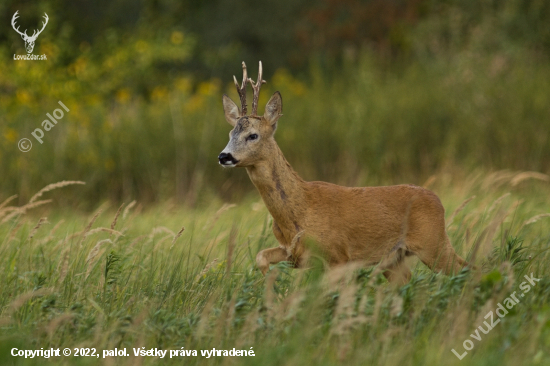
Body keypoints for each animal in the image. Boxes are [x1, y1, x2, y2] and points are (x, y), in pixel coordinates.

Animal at [220, 61, 470, 284]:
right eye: (231, 133)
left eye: (253, 135)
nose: (224, 156)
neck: (299, 210)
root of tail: (438, 200)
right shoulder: (294, 253)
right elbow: (261, 257)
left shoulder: (338, 255)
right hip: (396, 258)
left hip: (433, 243)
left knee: (466, 267)